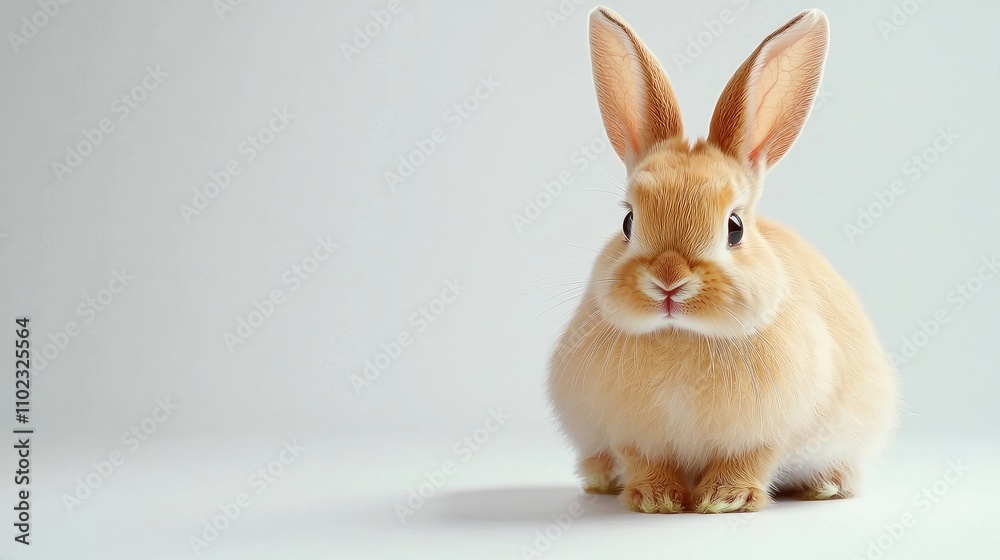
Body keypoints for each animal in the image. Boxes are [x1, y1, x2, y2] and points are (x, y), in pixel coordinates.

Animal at [547, 7, 898, 514]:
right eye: (629, 222)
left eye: (735, 227)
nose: (669, 280)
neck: (682, 335)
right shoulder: (629, 433)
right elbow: (642, 460)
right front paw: (657, 499)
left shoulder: (766, 433)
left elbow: (751, 459)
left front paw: (724, 499)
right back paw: (600, 481)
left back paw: (826, 486)